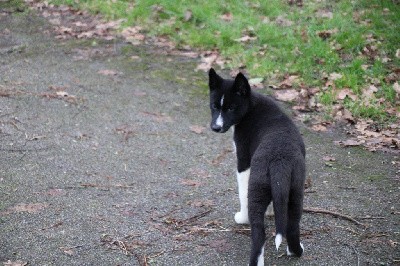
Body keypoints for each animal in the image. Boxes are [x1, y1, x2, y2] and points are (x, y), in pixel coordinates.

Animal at [208, 67, 304, 264]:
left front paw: (241, 217)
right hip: (296, 190)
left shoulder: (243, 161)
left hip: (258, 190)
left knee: (259, 234)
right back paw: (296, 251)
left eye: (231, 108)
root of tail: (280, 161)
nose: (216, 127)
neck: (250, 106)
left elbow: (242, 193)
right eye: (214, 106)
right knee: (292, 226)